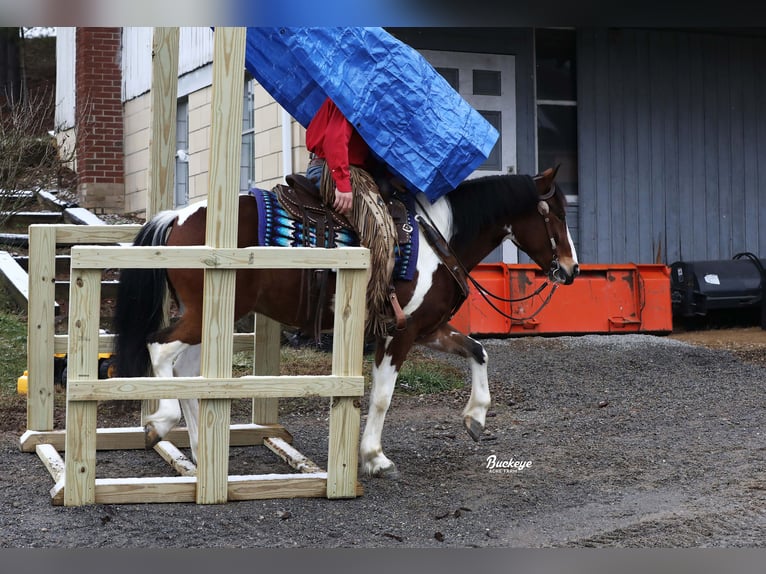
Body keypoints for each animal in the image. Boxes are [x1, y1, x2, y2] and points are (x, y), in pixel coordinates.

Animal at [114, 168, 580, 482]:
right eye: (554, 214)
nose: (572, 270)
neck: (438, 239)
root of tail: (177, 217)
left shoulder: (427, 329)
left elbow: (478, 351)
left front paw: (476, 418)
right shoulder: (399, 333)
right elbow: (382, 397)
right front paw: (374, 457)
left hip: (212, 316)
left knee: (188, 370)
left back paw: (198, 454)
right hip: (204, 315)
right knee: (159, 349)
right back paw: (160, 423)